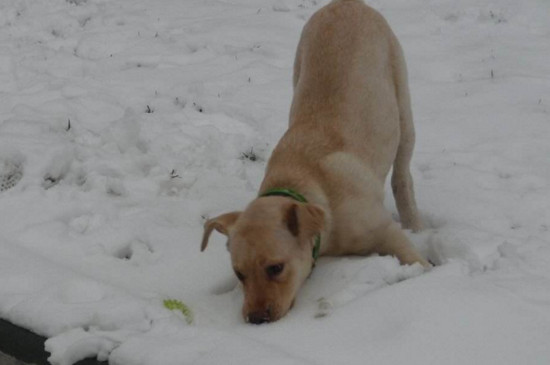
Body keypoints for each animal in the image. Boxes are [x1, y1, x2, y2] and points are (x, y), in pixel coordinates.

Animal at [201, 0, 430, 324]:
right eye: (239, 274)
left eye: (276, 268)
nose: (255, 319)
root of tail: (345, 3)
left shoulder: (385, 232)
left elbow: (417, 262)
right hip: (297, 69)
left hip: (401, 97)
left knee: (402, 174)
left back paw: (414, 222)